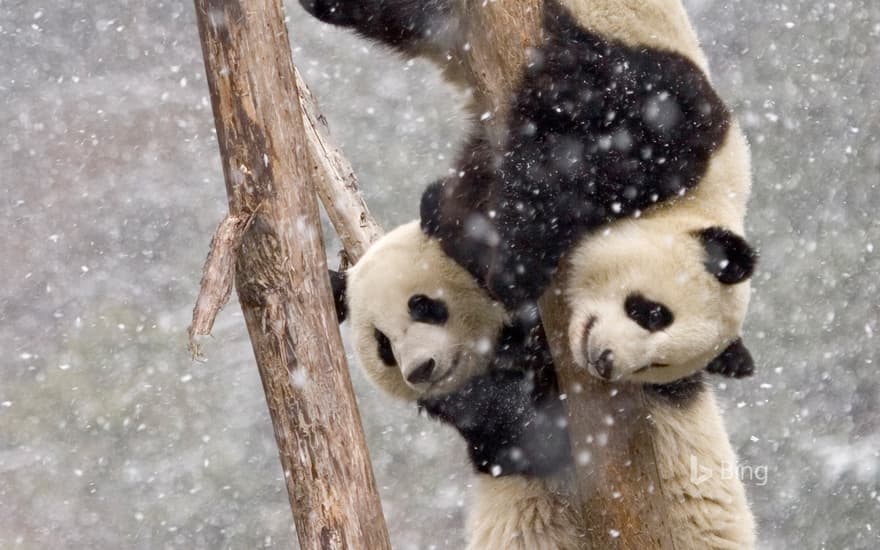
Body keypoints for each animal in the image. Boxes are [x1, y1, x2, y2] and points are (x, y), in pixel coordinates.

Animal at [300, 0, 748, 312]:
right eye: (649, 312)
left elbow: (483, 178)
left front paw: (445, 217)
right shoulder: (651, 117)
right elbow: (553, 182)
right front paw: (513, 275)